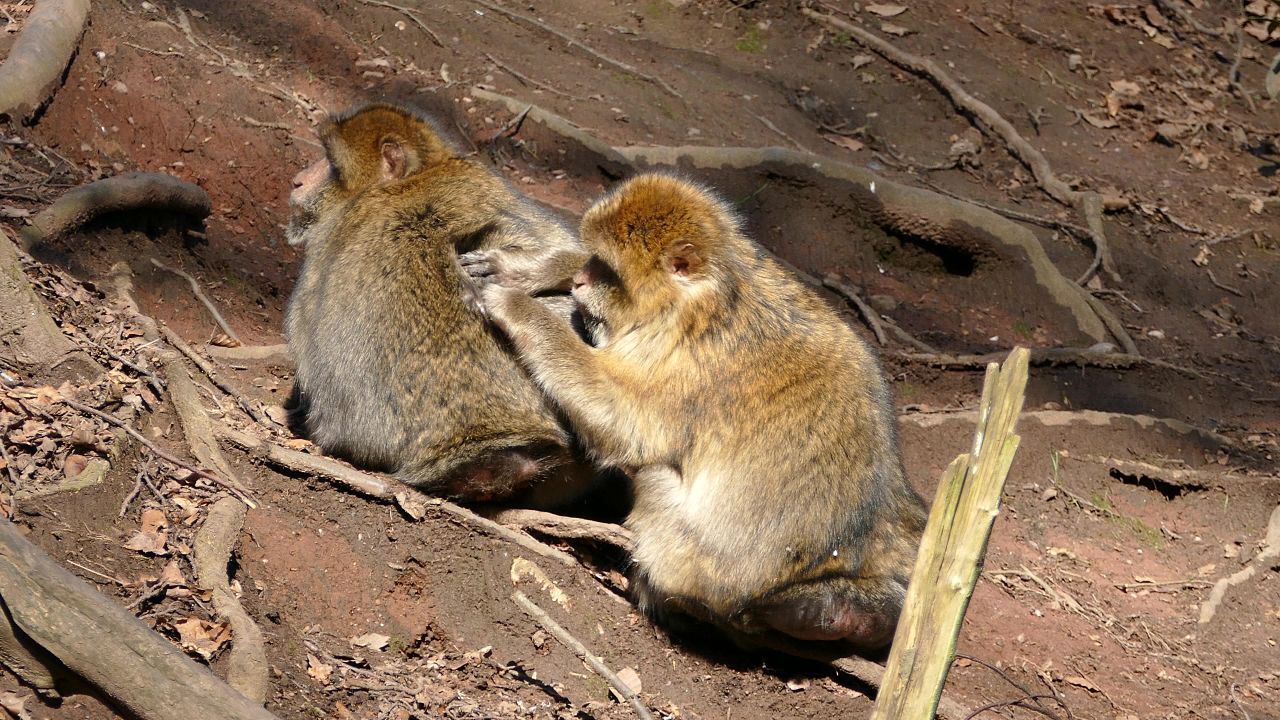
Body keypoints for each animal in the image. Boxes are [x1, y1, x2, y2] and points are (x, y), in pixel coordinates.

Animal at [476, 172, 926, 650]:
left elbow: (625, 425)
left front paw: (518, 306)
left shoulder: (685, 367)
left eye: (609, 273)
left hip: (688, 558)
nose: (580, 281)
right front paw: (536, 269)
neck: (701, 307)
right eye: (596, 261)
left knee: (654, 476)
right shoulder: (753, 263)